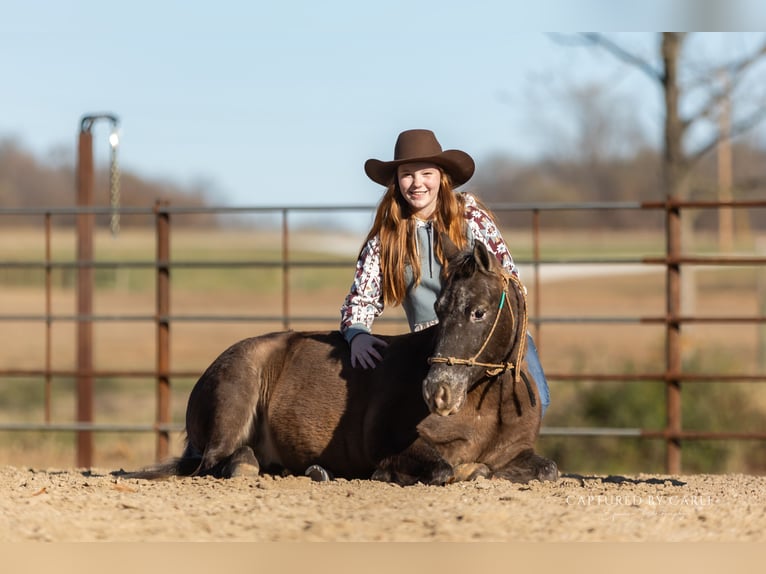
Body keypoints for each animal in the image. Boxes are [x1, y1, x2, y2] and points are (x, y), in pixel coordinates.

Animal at [126, 238, 558, 485]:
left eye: (479, 312)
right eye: (439, 308)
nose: (438, 393)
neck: (488, 404)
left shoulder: (517, 454)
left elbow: (548, 471)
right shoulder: (396, 444)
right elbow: (444, 469)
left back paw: (313, 470)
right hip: (235, 403)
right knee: (219, 461)